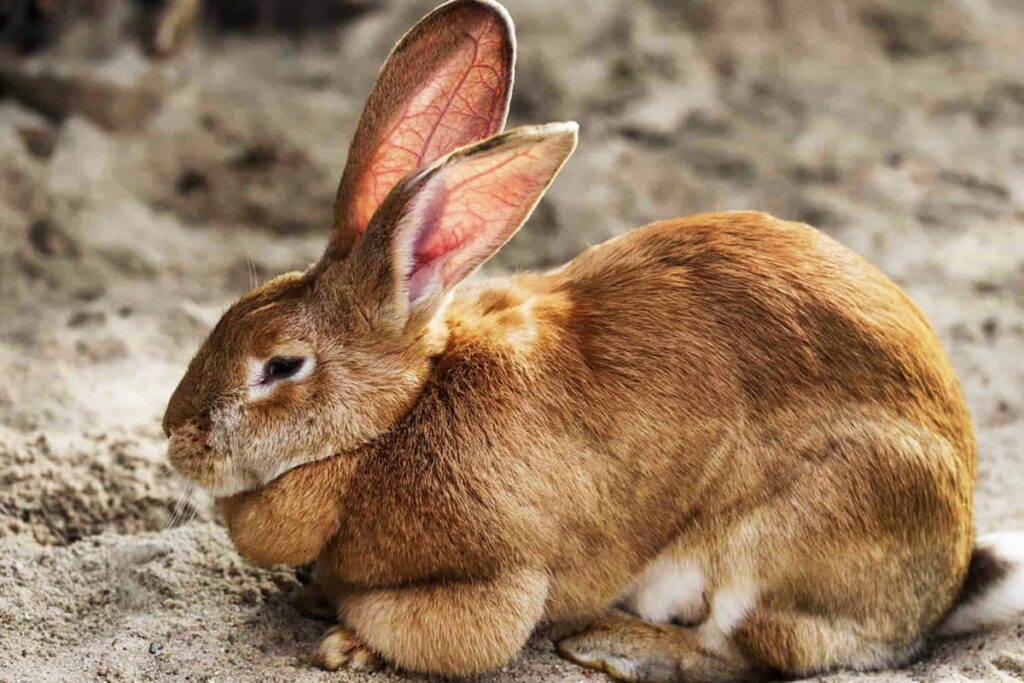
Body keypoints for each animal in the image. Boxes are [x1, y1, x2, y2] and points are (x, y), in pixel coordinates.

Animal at [162, 0, 1024, 680]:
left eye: (281, 365)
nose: (177, 437)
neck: (389, 426)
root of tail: (945, 581)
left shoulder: (499, 580)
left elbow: (446, 633)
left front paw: (349, 643)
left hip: (792, 531)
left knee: (751, 647)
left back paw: (616, 644)